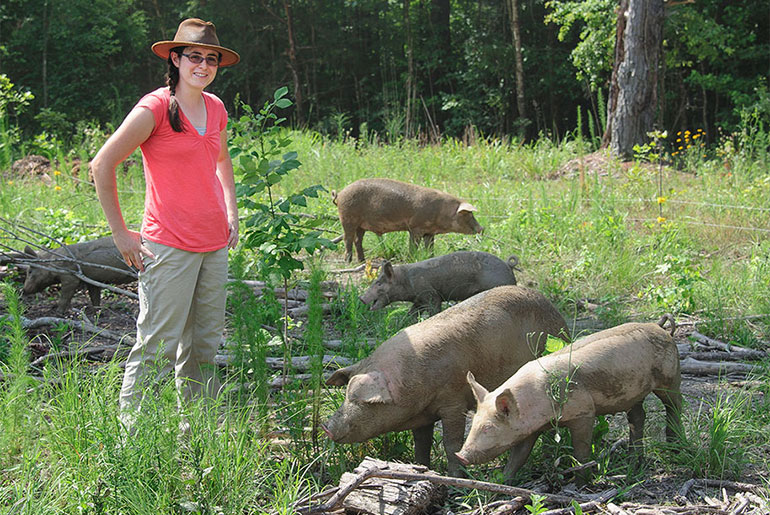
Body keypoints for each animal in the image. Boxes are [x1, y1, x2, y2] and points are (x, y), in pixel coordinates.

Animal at [320, 284, 568, 478]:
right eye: (346, 395)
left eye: (362, 401)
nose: (327, 427)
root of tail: (555, 311)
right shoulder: (423, 416)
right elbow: (422, 443)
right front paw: (421, 468)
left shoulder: (454, 401)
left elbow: (452, 443)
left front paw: (455, 477)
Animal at [330, 179, 480, 264]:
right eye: (469, 214)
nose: (481, 228)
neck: (442, 212)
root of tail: (340, 193)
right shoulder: (415, 228)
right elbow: (413, 246)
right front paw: (411, 259)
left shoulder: (430, 232)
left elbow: (430, 247)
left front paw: (430, 257)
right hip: (347, 218)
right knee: (348, 239)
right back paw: (348, 262)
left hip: (361, 225)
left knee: (358, 240)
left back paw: (362, 261)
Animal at [358, 252, 516, 316]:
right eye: (375, 281)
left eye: (379, 284)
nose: (361, 298)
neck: (406, 281)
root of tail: (509, 266)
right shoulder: (419, 299)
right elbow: (412, 312)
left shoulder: (431, 294)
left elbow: (434, 309)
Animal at [452, 318, 680, 484]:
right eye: (474, 423)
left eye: (488, 427)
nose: (460, 455)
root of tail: (659, 327)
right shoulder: (529, 429)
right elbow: (518, 456)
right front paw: (502, 482)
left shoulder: (584, 412)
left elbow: (581, 451)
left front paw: (580, 485)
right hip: (634, 392)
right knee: (638, 416)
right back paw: (634, 463)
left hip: (670, 376)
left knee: (675, 405)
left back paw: (675, 447)